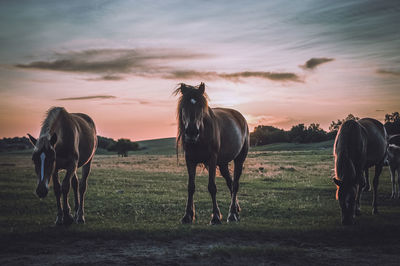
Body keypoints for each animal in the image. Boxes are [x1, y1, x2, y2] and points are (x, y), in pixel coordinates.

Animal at [173, 82, 248, 223]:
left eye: (201, 106)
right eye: (184, 106)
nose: (192, 132)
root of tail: (240, 117)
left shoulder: (212, 159)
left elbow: (212, 187)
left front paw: (216, 217)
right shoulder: (189, 160)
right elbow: (191, 187)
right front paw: (187, 215)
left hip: (239, 159)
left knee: (235, 184)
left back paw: (232, 214)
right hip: (223, 164)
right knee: (230, 183)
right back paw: (236, 209)